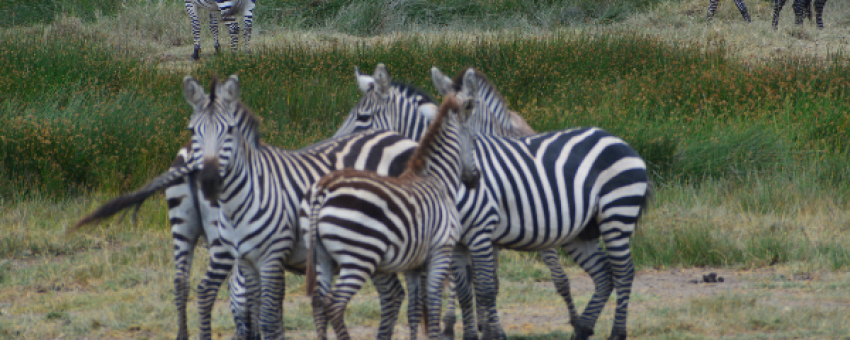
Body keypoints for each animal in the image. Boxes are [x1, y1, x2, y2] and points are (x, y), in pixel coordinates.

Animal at [304, 93, 476, 340]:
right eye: (473, 140)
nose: (475, 178)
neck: (438, 179)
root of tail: (324, 189)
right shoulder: (441, 250)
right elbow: (434, 304)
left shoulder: (414, 262)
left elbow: (414, 309)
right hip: (359, 258)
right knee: (334, 305)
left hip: (321, 256)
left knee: (318, 303)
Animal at [332, 64, 648, 340]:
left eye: (363, 118)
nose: (332, 150)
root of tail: (615, 138)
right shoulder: (457, 241)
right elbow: (465, 292)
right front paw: (470, 333)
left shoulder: (481, 232)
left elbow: (485, 289)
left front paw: (493, 333)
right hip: (581, 231)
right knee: (604, 274)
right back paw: (582, 329)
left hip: (617, 214)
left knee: (623, 272)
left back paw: (616, 333)